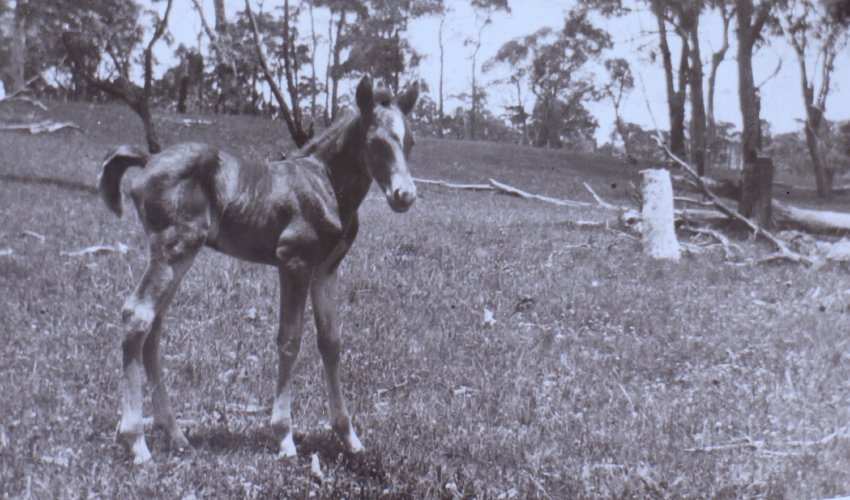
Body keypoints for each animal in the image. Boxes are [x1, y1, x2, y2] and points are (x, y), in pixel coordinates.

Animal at [99, 75, 419, 464]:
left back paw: (175, 435)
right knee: (137, 315)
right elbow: (289, 340)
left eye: (410, 142)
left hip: (181, 254)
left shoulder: (326, 269)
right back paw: (136, 441)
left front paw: (349, 437)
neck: (325, 181)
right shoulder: (293, 261)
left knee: (154, 326)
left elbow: (331, 341)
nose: (405, 195)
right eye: (375, 142)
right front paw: (284, 437)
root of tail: (148, 159)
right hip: (174, 248)